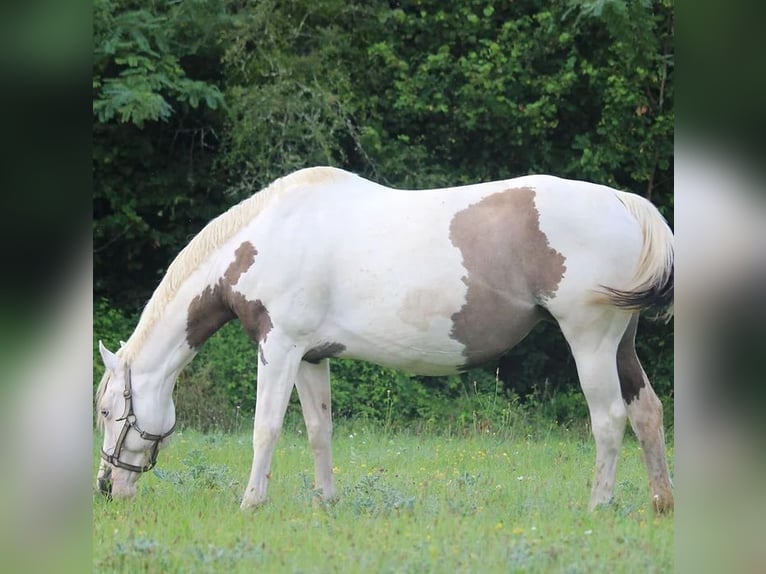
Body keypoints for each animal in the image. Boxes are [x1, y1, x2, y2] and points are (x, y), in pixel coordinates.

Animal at [94, 165, 672, 512]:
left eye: (105, 411)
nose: (107, 488)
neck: (265, 238)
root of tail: (622, 202)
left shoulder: (278, 348)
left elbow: (266, 429)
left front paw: (251, 503)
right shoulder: (310, 357)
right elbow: (318, 430)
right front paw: (326, 502)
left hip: (590, 341)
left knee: (609, 420)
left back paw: (599, 505)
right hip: (621, 345)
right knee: (646, 412)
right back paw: (661, 502)